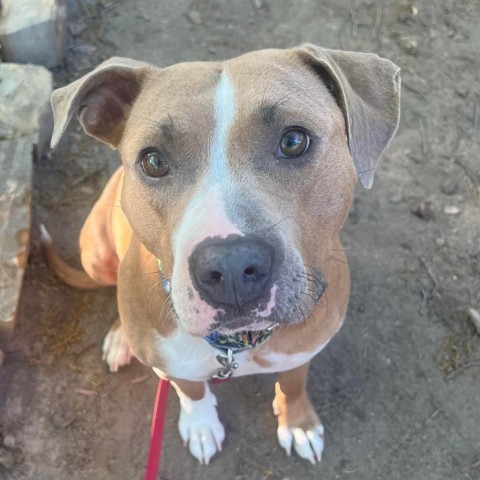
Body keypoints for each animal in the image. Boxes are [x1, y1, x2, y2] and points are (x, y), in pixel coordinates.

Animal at [41, 44, 400, 464]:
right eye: (153, 161)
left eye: (294, 141)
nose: (230, 268)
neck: (239, 343)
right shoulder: (176, 367)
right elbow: (192, 391)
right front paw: (200, 425)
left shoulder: (303, 349)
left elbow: (293, 382)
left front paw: (298, 423)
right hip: (96, 254)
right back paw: (120, 338)